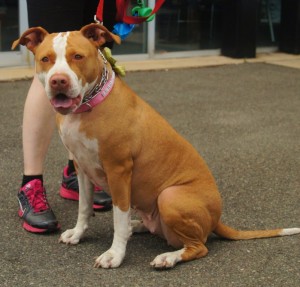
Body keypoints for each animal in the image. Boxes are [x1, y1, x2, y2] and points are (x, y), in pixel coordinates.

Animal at [12, 24, 300, 270]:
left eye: (78, 56)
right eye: (46, 59)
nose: (58, 81)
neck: (87, 106)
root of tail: (217, 219)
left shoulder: (119, 171)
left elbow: (118, 216)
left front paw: (115, 255)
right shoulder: (82, 167)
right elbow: (84, 206)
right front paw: (78, 233)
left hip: (170, 196)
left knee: (199, 246)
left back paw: (168, 257)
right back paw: (138, 226)